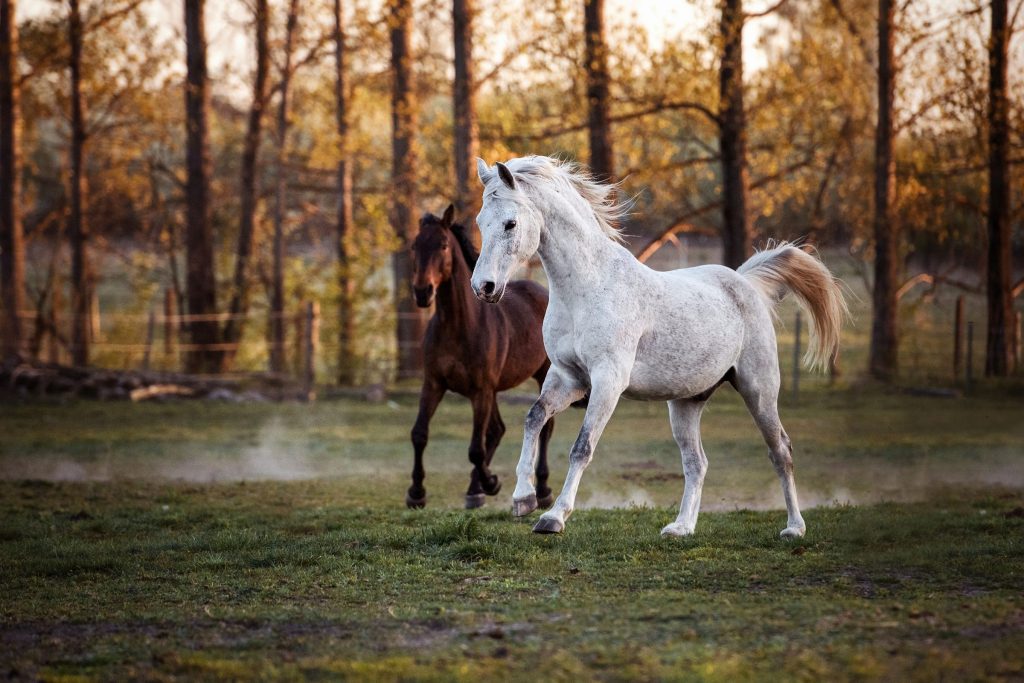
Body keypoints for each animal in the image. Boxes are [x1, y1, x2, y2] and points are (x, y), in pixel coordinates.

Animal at [406, 204, 556, 510]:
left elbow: (476, 448)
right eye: (415, 245)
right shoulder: (434, 384)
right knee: (497, 430)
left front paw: (492, 482)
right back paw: (474, 490)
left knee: (544, 426)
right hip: (493, 390)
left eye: (442, 245)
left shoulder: (480, 391)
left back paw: (543, 489)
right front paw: (416, 492)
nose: (423, 292)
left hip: (540, 375)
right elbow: (419, 434)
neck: (460, 325)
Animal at [470, 156, 847, 538]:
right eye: (480, 222)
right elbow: (534, 418)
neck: (587, 288)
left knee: (780, 451)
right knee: (697, 462)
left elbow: (582, 447)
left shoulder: (607, 380)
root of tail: (746, 283)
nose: (483, 287)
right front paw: (523, 499)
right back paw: (681, 528)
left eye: (510, 223)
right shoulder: (569, 378)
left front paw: (554, 517)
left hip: (759, 390)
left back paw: (794, 528)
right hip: (686, 404)